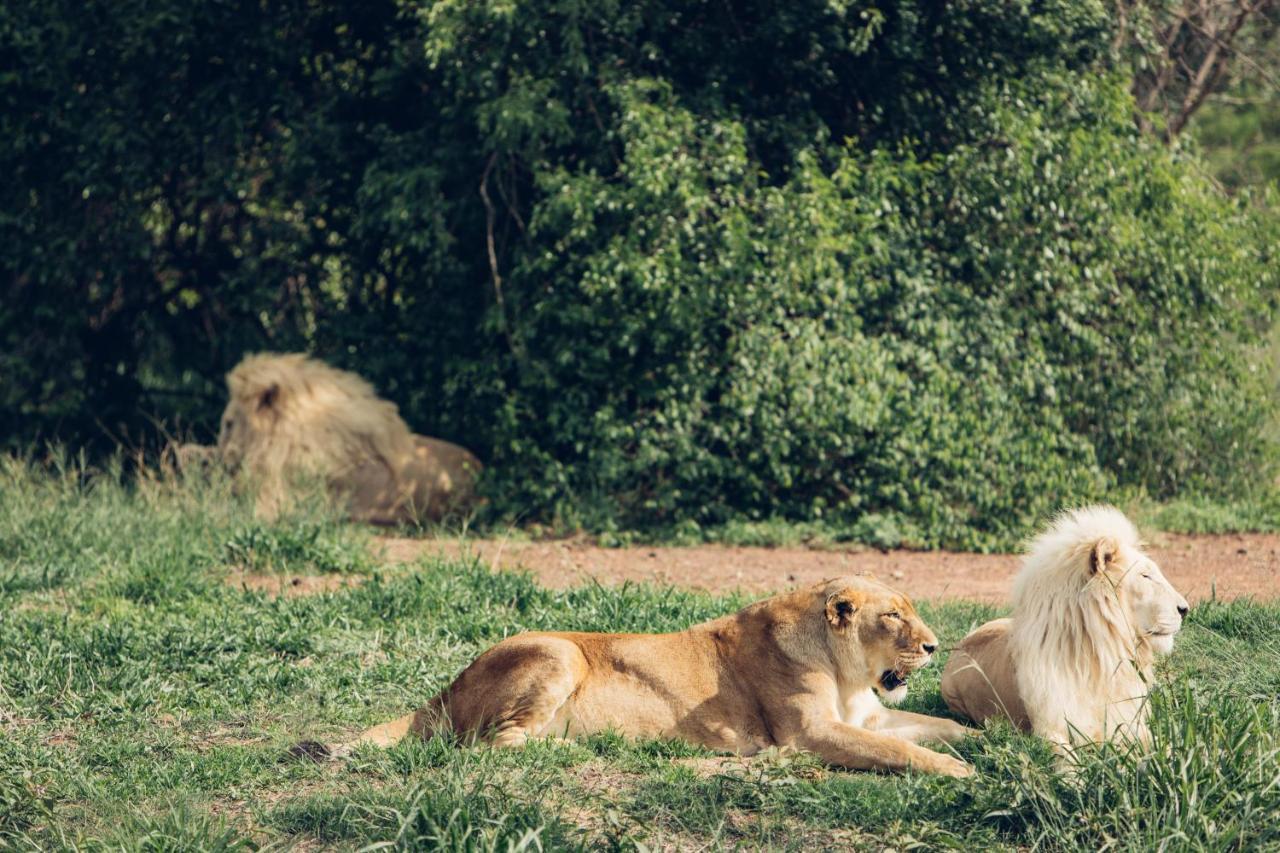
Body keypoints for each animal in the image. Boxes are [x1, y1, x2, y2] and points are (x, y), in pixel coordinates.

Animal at [314, 573, 972, 773]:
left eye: (910, 610)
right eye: (893, 616)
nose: (935, 646)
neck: (847, 673)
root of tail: (445, 686)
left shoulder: (871, 717)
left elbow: (939, 729)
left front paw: (991, 742)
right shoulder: (810, 732)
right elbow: (900, 751)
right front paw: (956, 772)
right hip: (558, 652)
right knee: (491, 744)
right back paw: (577, 750)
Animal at [942, 504, 1187, 742]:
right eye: (1145, 576)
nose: (1185, 609)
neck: (1103, 655)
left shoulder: (1131, 722)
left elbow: (1161, 746)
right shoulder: (1049, 729)